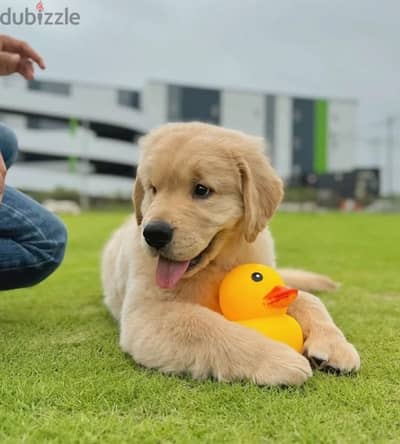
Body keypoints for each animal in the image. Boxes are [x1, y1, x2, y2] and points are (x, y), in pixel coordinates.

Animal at [101, 121, 360, 386]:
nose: (153, 234)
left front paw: (334, 344)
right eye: (153, 189)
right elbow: (204, 327)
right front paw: (277, 358)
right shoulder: (146, 313)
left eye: (201, 190)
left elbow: (309, 300)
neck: (217, 263)